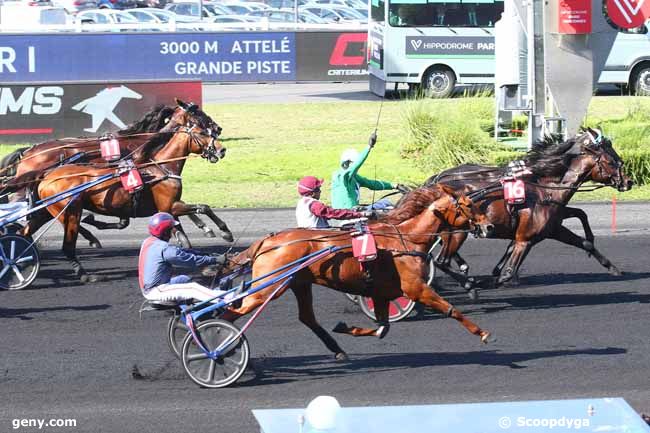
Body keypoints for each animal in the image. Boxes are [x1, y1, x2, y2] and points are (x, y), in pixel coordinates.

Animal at [24, 105, 225, 280]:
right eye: (202, 130)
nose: (221, 149)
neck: (160, 167)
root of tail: (46, 176)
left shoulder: (167, 209)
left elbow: (185, 239)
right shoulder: (169, 205)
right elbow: (203, 207)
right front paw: (224, 232)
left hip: (47, 210)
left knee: (25, 231)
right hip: (69, 211)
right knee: (67, 245)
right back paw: (84, 273)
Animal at [221, 186, 492, 362]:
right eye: (469, 205)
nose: (488, 226)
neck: (406, 240)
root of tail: (268, 241)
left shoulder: (382, 293)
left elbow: (382, 329)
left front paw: (345, 327)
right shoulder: (415, 288)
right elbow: (450, 309)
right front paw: (482, 333)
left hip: (298, 283)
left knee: (307, 317)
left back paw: (337, 348)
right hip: (268, 286)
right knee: (233, 311)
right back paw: (222, 345)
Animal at [422, 127, 632, 294]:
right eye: (612, 161)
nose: (628, 181)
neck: (544, 187)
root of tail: (436, 180)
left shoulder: (553, 226)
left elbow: (583, 233)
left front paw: (612, 268)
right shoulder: (526, 238)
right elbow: (507, 271)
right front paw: (490, 279)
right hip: (457, 232)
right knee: (442, 260)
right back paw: (465, 279)